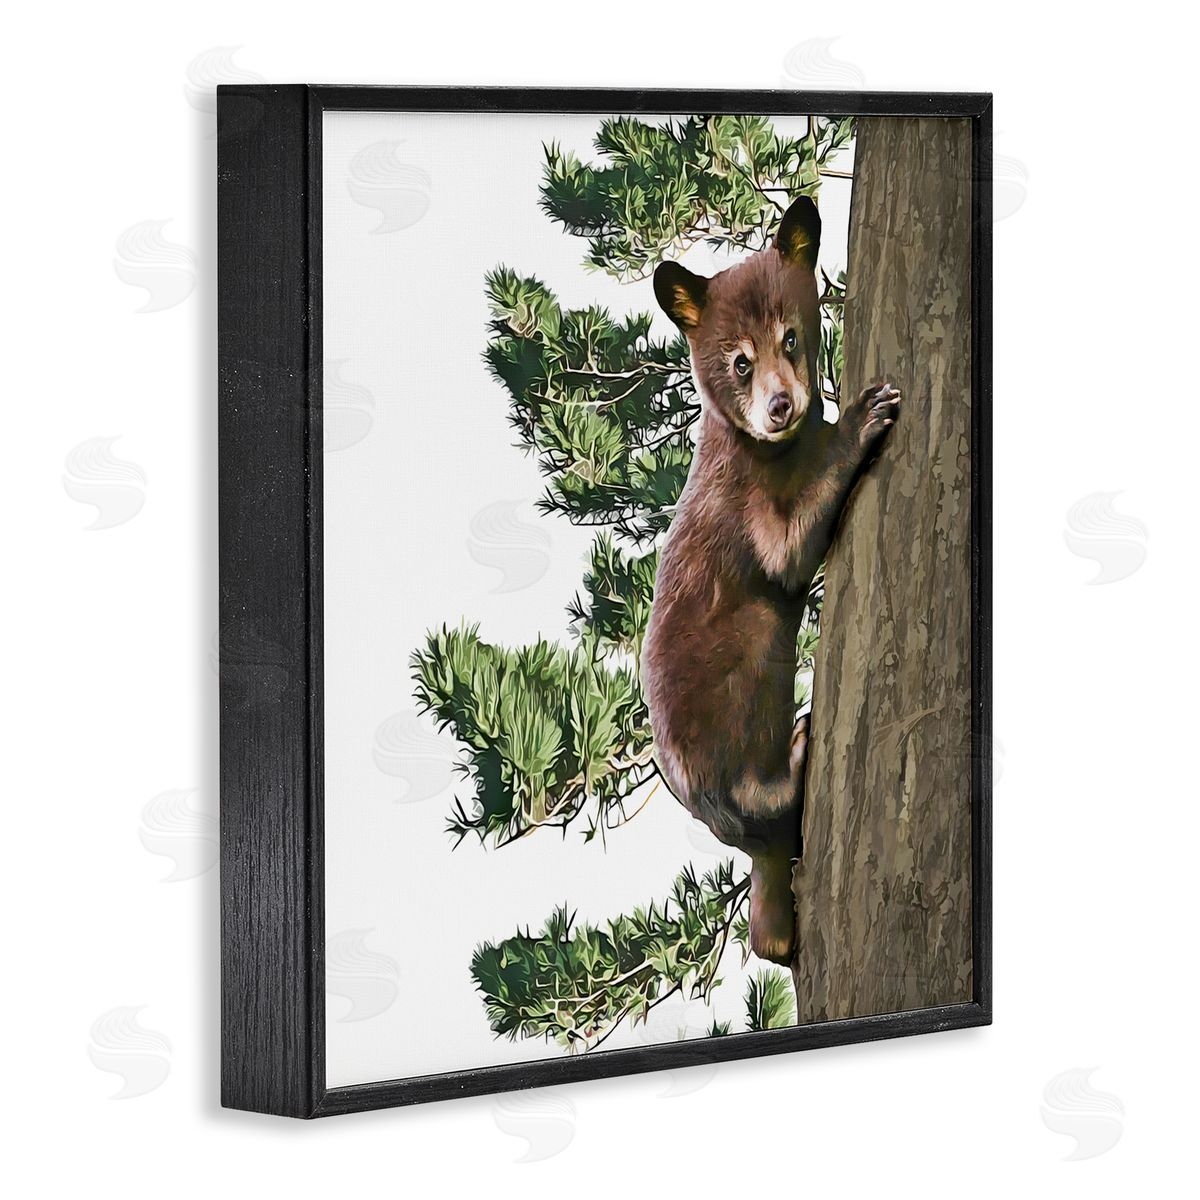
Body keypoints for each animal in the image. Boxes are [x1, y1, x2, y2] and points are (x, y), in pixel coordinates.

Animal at [641, 195, 900, 966]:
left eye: (792, 337)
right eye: (738, 361)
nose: (781, 405)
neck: (773, 447)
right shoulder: (743, 500)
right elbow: (786, 552)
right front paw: (865, 414)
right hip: (732, 734)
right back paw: (798, 749)